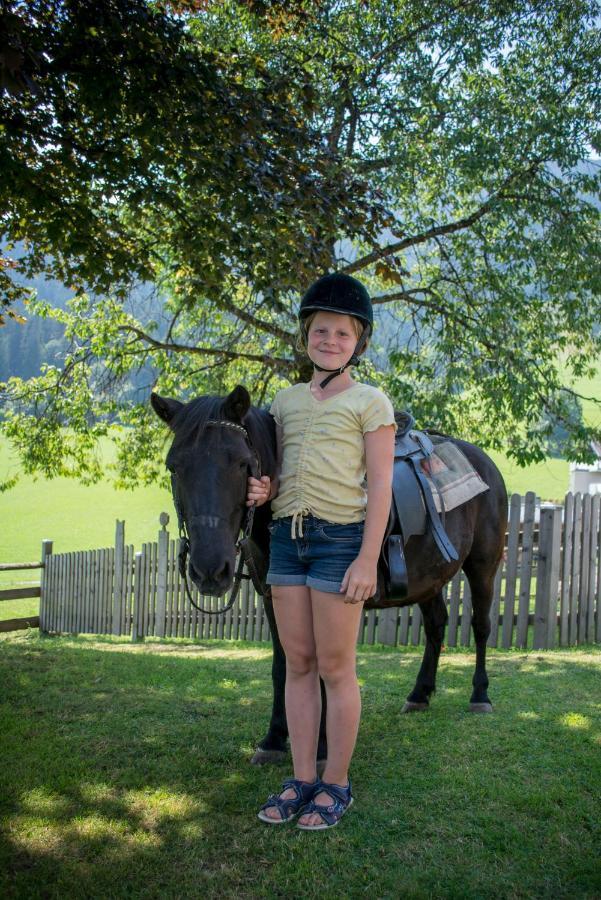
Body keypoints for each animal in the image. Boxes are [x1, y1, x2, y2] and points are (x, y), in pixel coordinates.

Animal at [150, 386, 506, 768]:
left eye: (242, 463)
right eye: (174, 466)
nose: (210, 570)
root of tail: (484, 464)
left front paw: (321, 748)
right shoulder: (275, 596)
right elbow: (284, 665)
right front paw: (275, 739)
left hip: (483, 566)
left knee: (481, 626)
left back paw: (480, 695)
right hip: (428, 578)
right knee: (436, 624)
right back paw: (419, 694)